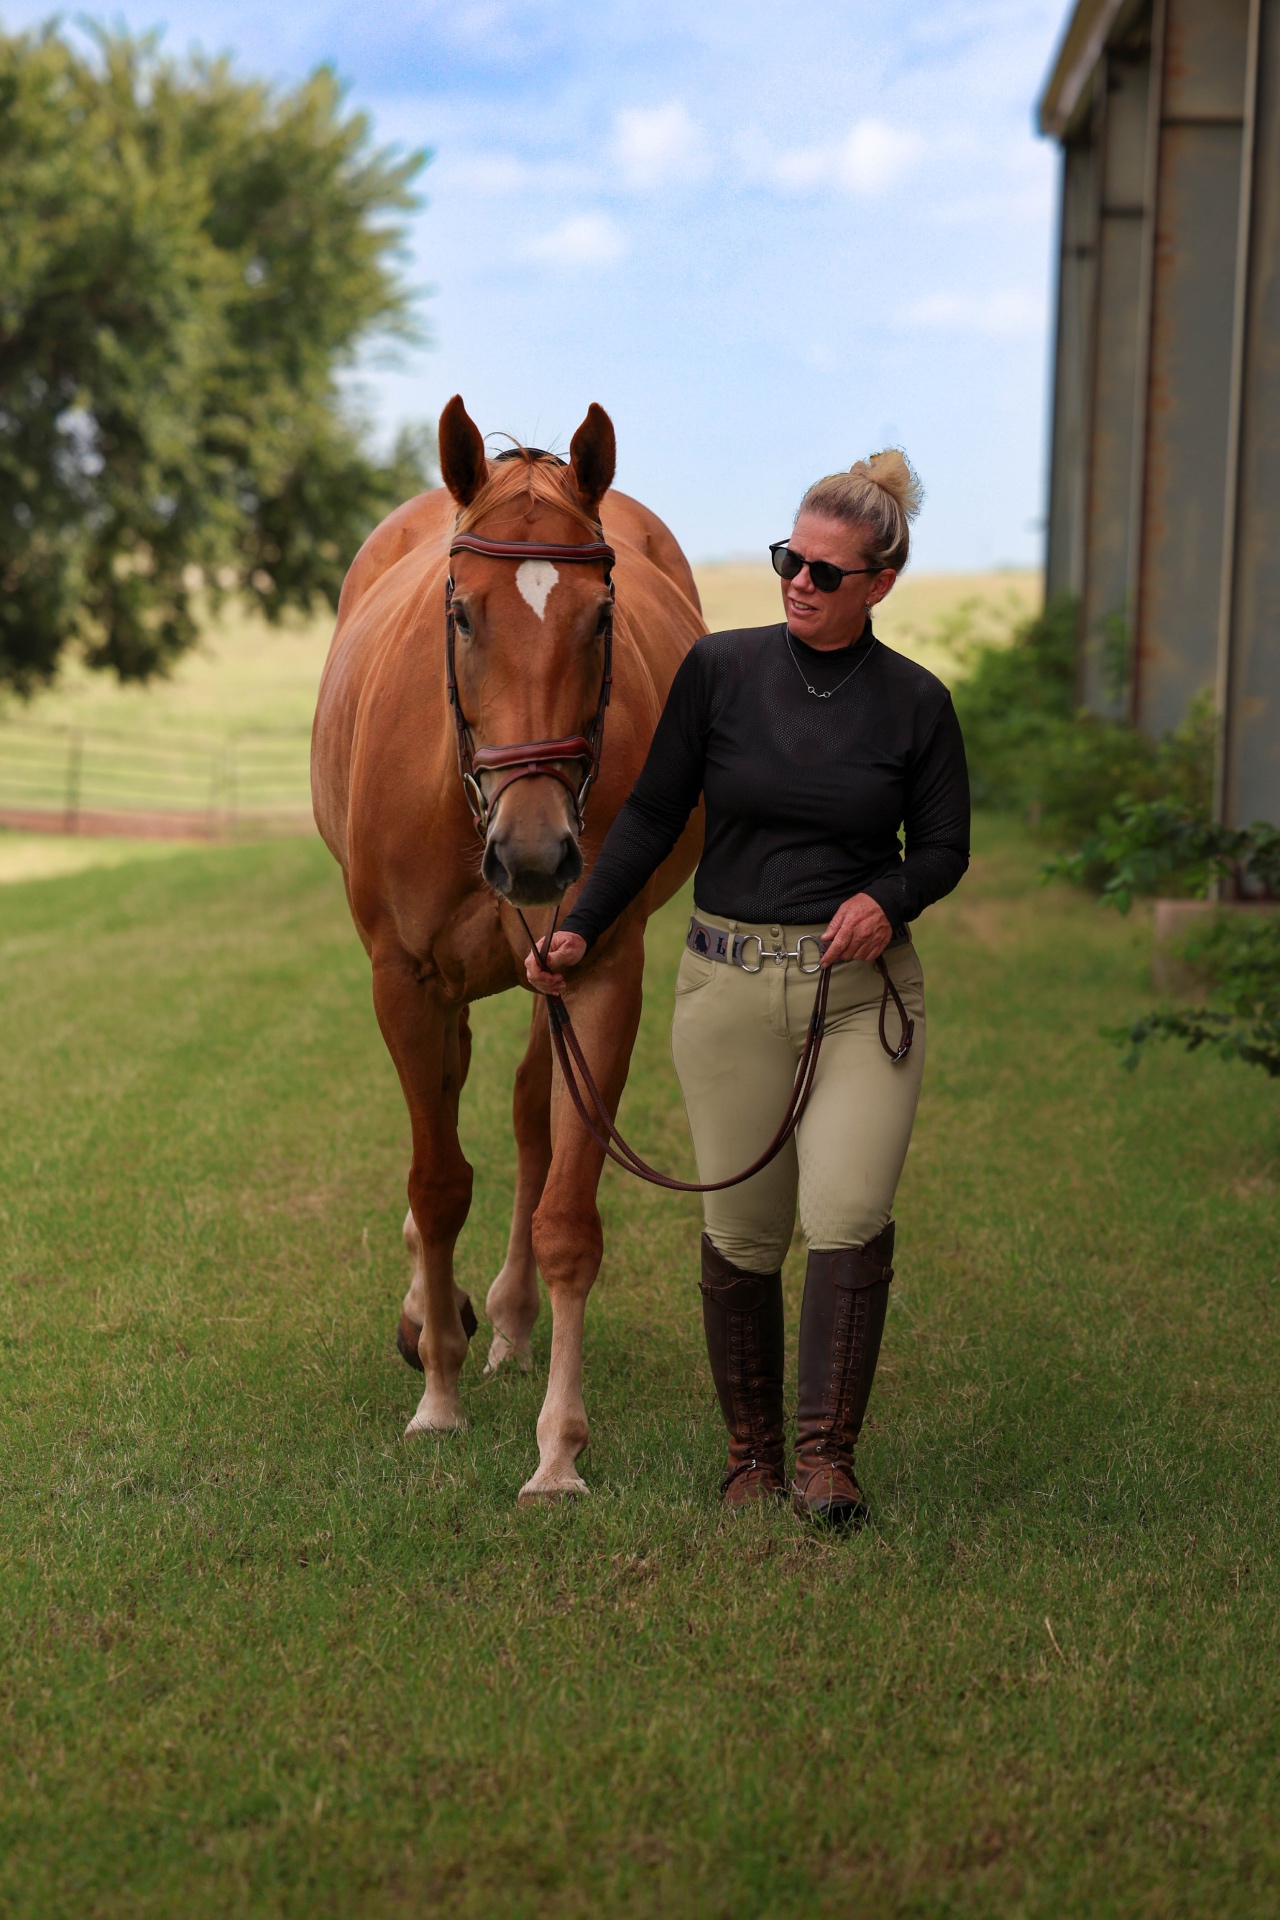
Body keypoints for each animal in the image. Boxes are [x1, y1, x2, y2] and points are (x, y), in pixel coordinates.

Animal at [311, 396, 705, 1502]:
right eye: (460, 614)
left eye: (602, 616)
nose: (534, 855)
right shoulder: (403, 981)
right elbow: (438, 1183)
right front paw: (437, 1399)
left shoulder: (600, 970)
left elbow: (567, 1214)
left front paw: (557, 1450)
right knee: (449, 1109)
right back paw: (431, 1315)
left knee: (530, 1121)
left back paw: (508, 1324)